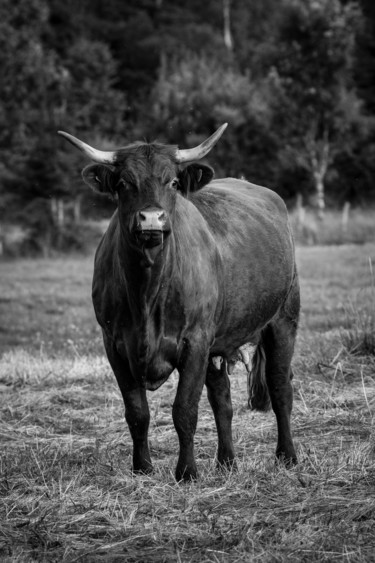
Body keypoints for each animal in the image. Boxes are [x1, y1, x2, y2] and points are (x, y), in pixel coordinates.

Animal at [58, 125, 300, 482]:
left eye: (172, 182)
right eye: (123, 183)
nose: (151, 219)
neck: (147, 291)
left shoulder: (195, 341)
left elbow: (184, 410)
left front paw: (186, 472)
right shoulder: (114, 344)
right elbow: (137, 412)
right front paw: (142, 468)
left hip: (284, 318)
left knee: (280, 387)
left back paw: (287, 456)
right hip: (219, 342)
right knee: (222, 399)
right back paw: (227, 462)